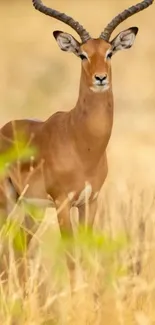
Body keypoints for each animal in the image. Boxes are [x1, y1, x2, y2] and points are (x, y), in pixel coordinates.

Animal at [0, 0, 153, 268]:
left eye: (109, 52)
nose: (100, 78)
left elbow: (85, 250)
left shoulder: (90, 202)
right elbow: (71, 255)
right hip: (6, 202)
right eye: (82, 54)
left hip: (32, 209)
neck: (83, 145)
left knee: (19, 248)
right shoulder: (63, 202)